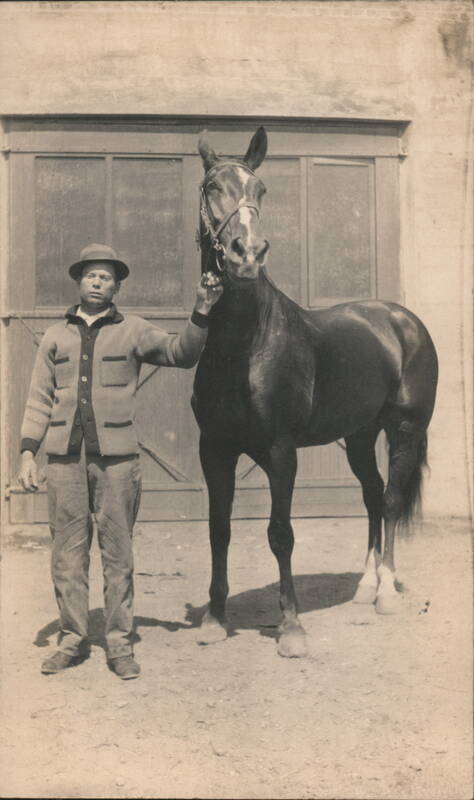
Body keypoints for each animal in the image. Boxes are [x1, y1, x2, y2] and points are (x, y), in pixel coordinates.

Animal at [192, 126, 438, 658]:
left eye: (261, 189)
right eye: (211, 186)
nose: (247, 253)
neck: (247, 343)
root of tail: (401, 319)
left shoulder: (281, 452)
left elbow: (280, 533)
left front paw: (292, 629)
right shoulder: (215, 449)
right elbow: (219, 529)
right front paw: (214, 620)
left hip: (404, 430)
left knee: (390, 501)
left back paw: (386, 593)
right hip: (360, 437)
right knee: (372, 495)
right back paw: (365, 586)